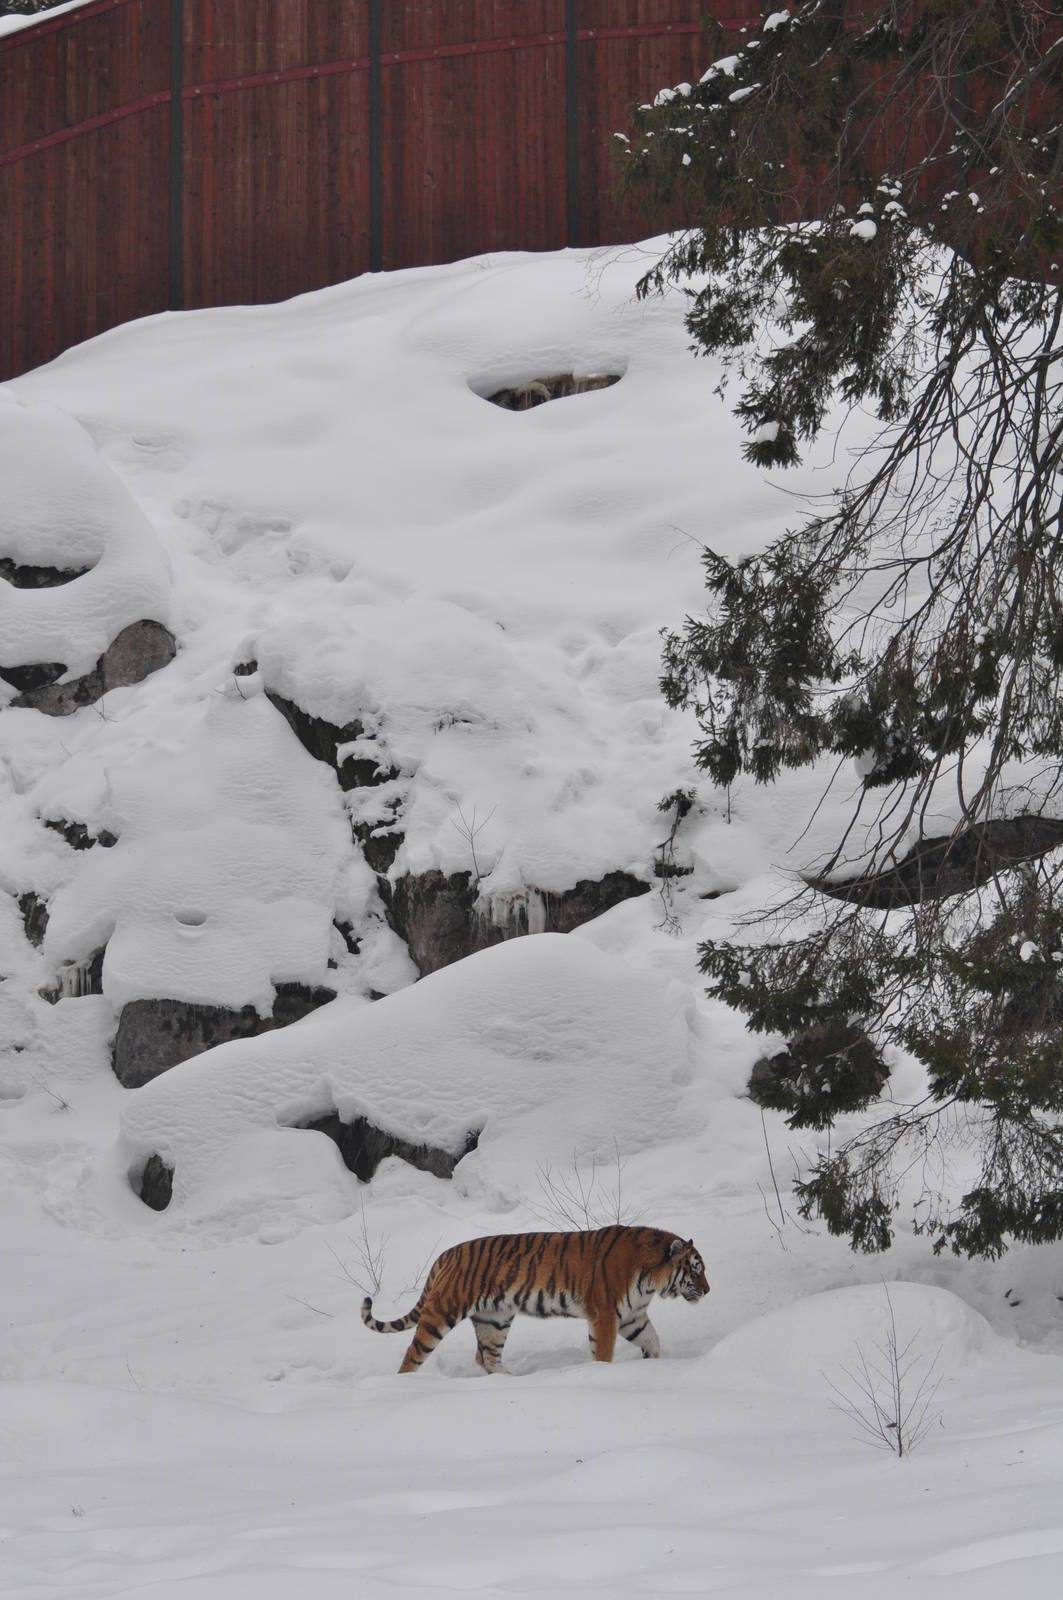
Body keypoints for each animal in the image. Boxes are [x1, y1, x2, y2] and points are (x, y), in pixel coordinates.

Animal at [361, 1223, 709, 1374]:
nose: (708, 1291)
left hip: (494, 1319)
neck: (651, 1279)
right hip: (442, 1313)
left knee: (486, 1357)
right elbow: (603, 1353)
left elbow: (652, 1340)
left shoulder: (632, 1316)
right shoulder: (606, 1314)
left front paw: (651, 1367)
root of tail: (445, 1255)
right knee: (411, 1356)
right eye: (695, 1270)